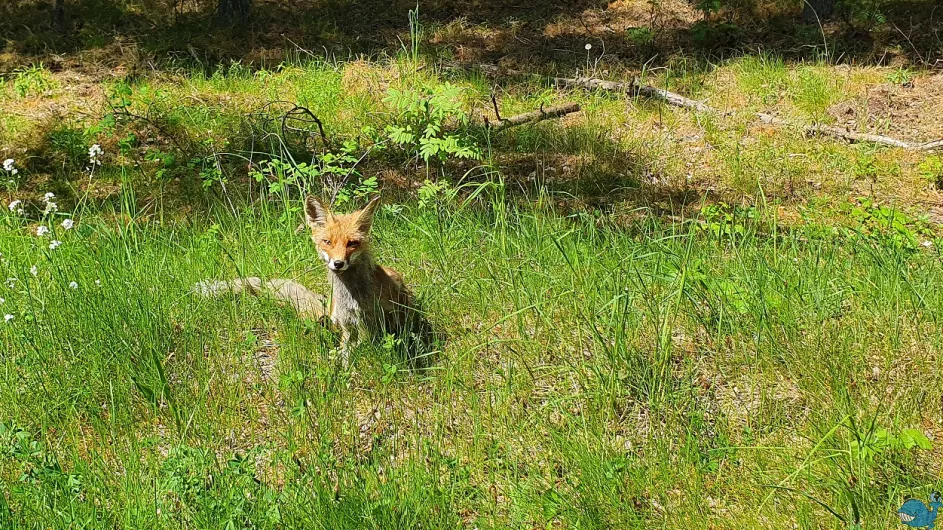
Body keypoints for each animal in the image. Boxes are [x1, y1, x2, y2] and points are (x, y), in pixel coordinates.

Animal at [198, 196, 438, 366]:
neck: (352, 296)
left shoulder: (369, 328)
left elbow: (358, 350)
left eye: (352, 243)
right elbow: (344, 352)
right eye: (327, 242)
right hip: (334, 317)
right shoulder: (347, 327)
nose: (338, 263)